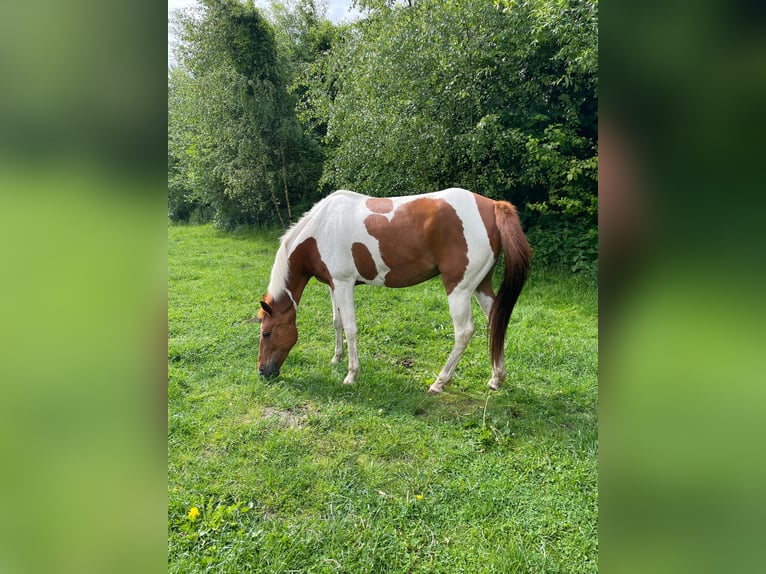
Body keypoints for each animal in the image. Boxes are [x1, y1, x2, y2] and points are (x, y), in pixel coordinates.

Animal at [257, 187, 531, 394]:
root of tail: (493, 206)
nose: (262, 371)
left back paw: (439, 382)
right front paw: (336, 358)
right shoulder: (334, 284)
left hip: (459, 289)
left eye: (266, 333)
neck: (321, 228)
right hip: (480, 285)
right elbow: (337, 322)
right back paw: (496, 378)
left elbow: (351, 328)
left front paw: (351, 375)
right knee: (496, 321)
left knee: (464, 332)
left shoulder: (344, 283)